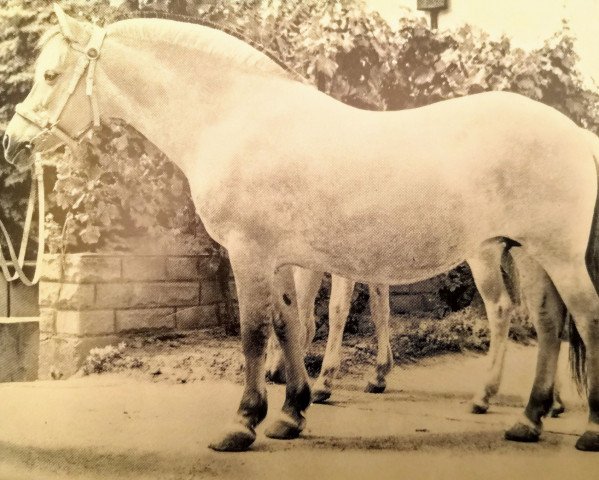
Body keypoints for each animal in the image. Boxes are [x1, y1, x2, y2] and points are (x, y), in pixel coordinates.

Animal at [4, 7, 599, 452]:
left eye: (51, 75)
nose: (14, 141)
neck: (235, 117)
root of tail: (576, 133)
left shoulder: (250, 253)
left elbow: (254, 332)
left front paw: (243, 423)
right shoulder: (285, 259)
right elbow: (291, 326)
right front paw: (291, 413)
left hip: (552, 254)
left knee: (585, 318)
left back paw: (584, 429)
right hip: (528, 252)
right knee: (548, 323)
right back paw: (528, 418)